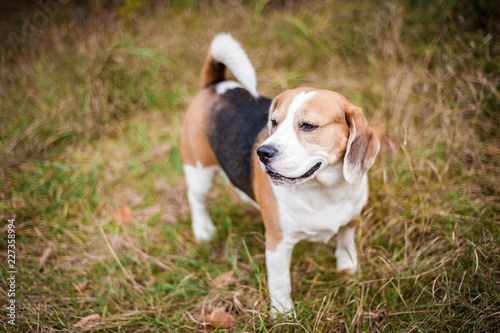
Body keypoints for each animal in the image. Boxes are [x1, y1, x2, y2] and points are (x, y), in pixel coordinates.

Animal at [180, 33, 378, 314]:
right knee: (197, 200)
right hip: (199, 170)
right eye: (273, 122)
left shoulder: (351, 219)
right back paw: (203, 230)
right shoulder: (277, 243)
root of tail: (215, 86)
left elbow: (345, 241)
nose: (262, 153)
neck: (323, 191)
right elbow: (281, 282)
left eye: (308, 126)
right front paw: (284, 313)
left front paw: (347, 267)